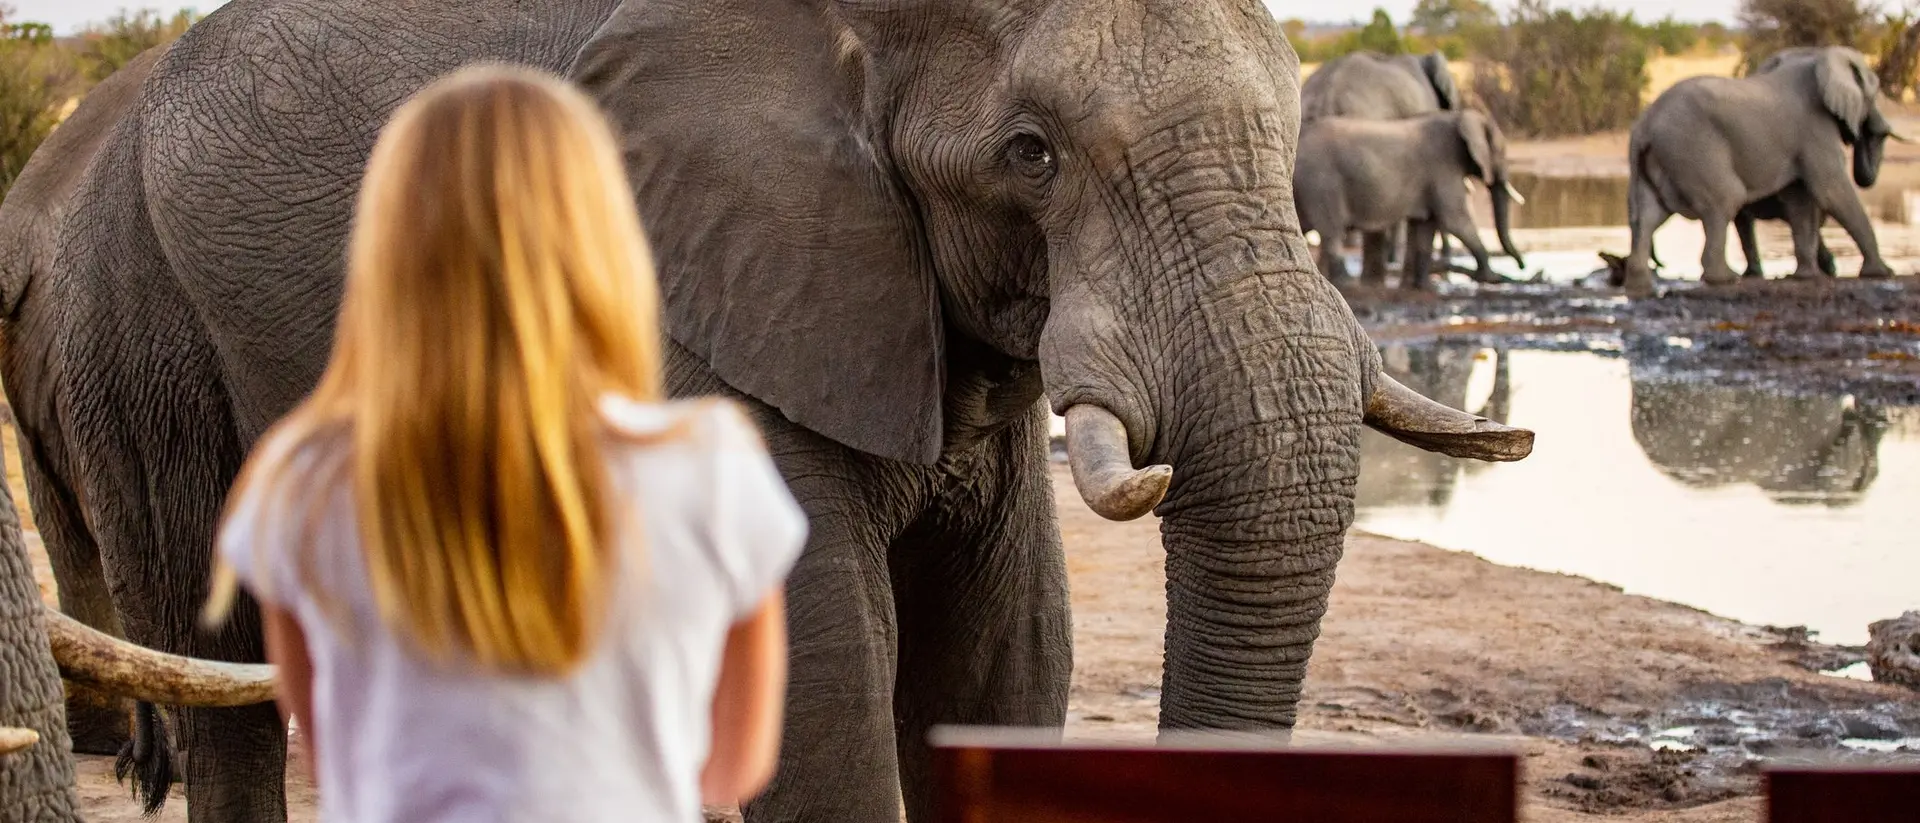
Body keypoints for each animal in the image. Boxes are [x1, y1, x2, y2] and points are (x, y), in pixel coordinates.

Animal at [1295, 109, 1528, 289]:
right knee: (1332, 232)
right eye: (1501, 152)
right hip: (1321, 183)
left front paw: (1424, 286)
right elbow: (1456, 221)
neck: (1457, 117)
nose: (1522, 266)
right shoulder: (1444, 167)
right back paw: (1346, 283)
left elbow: (1426, 228)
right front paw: (1491, 278)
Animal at [1625, 46, 1904, 295]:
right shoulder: (1815, 130)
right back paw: (1725, 279)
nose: (1869, 131)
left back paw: (1639, 286)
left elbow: (1800, 201)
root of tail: (1644, 125)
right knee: (1726, 199)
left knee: (1649, 214)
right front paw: (1882, 273)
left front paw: (1805, 277)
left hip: (1662, 157)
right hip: (1693, 150)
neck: (1819, 58)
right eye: (1874, 91)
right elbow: (1831, 191)